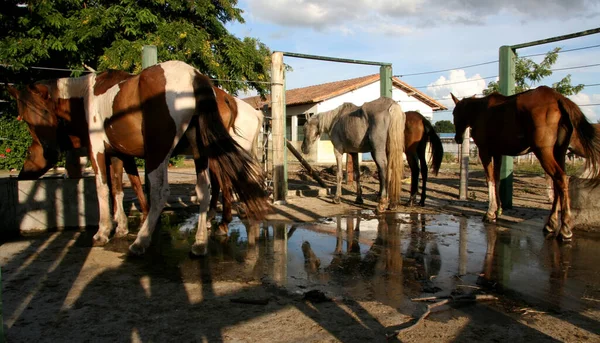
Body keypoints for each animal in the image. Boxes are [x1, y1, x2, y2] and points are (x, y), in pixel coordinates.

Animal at [7, 61, 268, 255]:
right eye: (25, 116)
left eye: (39, 112)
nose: (48, 150)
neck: (86, 97)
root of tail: (195, 77)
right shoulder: (118, 154)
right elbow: (118, 187)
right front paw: (121, 227)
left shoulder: (98, 149)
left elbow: (104, 187)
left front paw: (103, 231)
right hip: (199, 151)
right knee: (204, 189)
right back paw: (200, 242)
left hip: (159, 151)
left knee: (163, 192)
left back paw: (142, 240)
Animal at [450, 86, 600, 242]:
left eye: (454, 113)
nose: (458, 138)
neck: (479, 111)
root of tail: (559, 98)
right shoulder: (498, 153)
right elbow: (497, 180)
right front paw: (498, 210)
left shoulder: (485, 151)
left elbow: (490, 180)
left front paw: (490, 212)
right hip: (559, 152)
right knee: (558, 183)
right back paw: (551, 223)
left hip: (543, 152)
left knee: (560, 178)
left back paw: (565, 228)